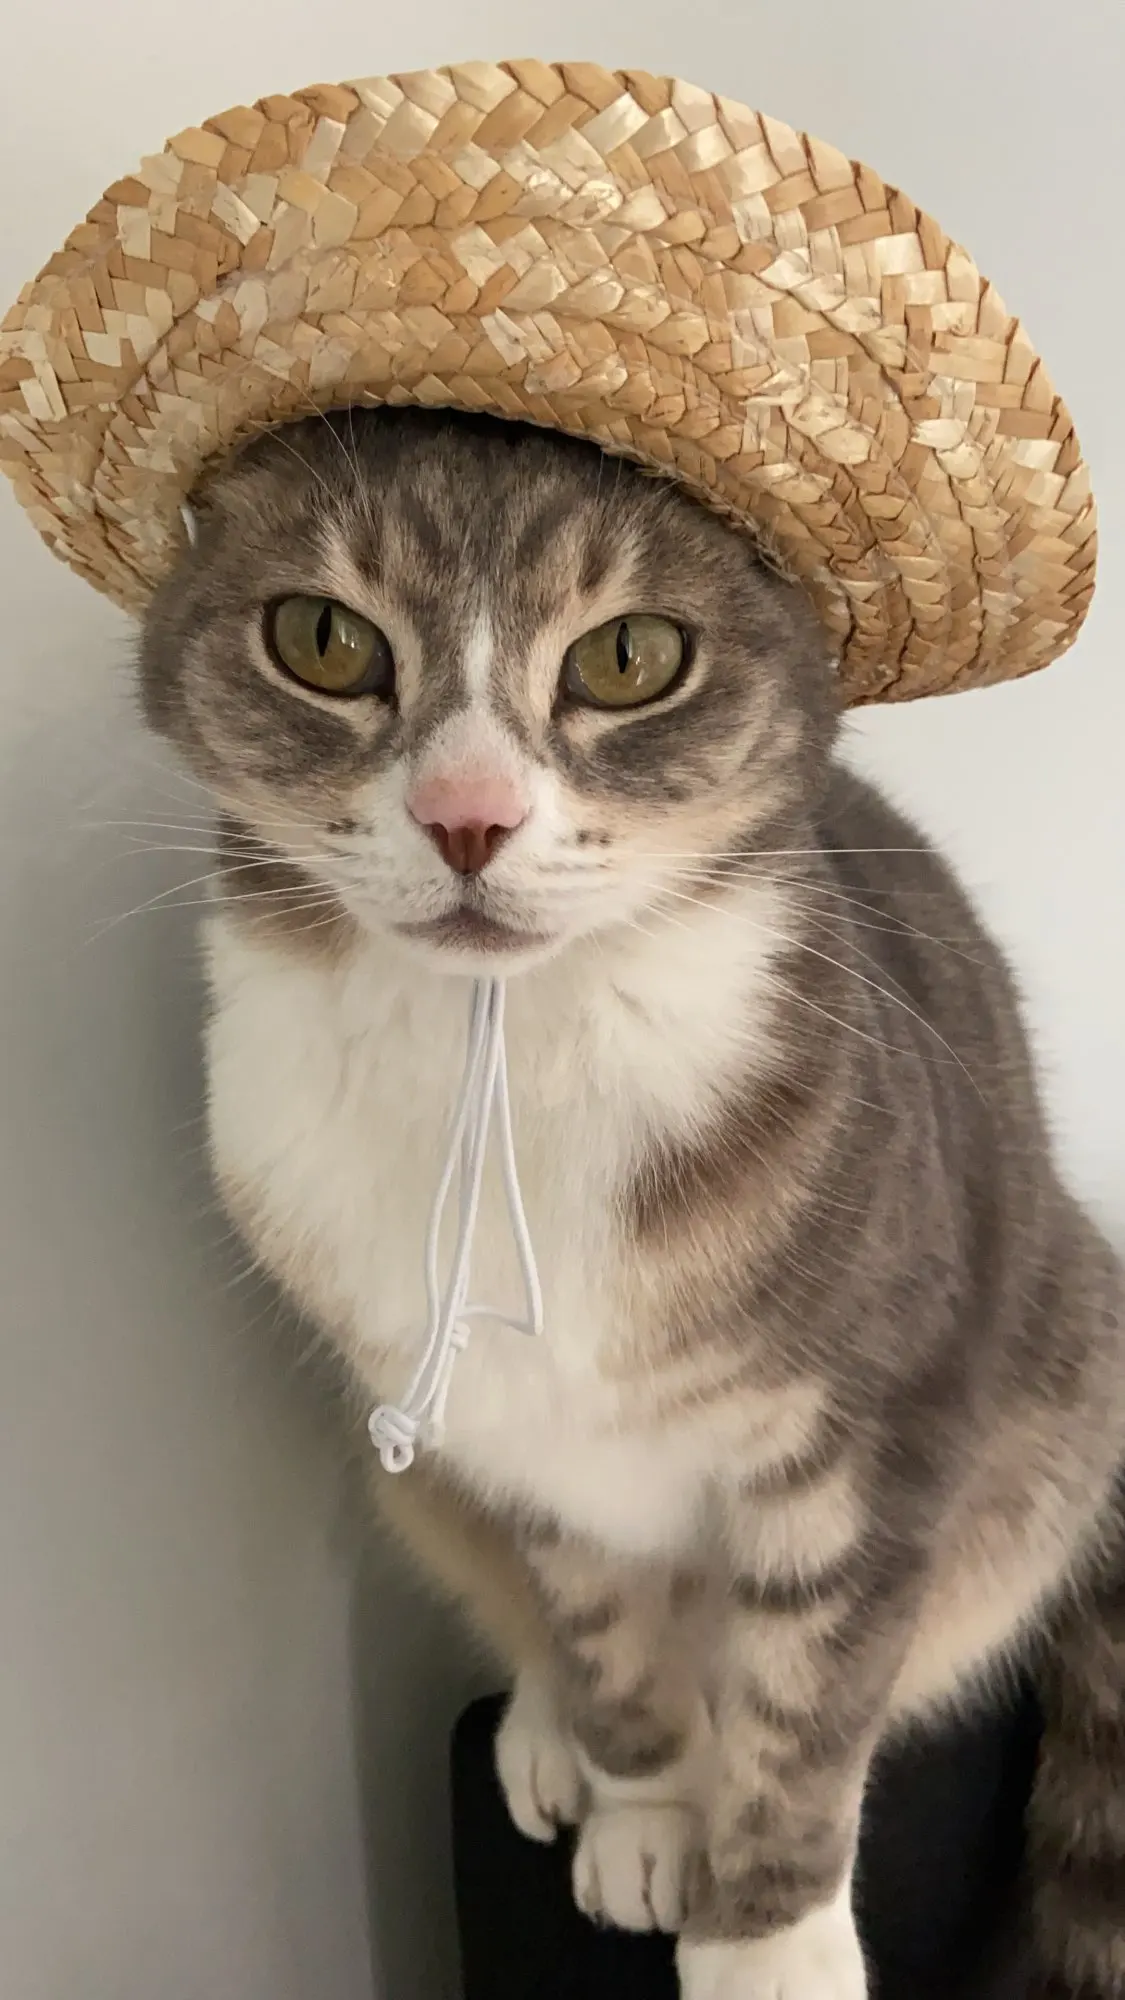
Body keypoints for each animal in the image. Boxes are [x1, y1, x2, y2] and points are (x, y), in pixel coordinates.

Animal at [139, 405, 1125, 2000]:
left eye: (627, 658)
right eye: (323, 639)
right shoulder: (529, 1444)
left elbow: (807, 1706)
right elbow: (600, 1630)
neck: (504, 1056)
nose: (465, 814)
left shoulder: (879, 1433)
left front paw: (767, 1941)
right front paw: (641, 1810)